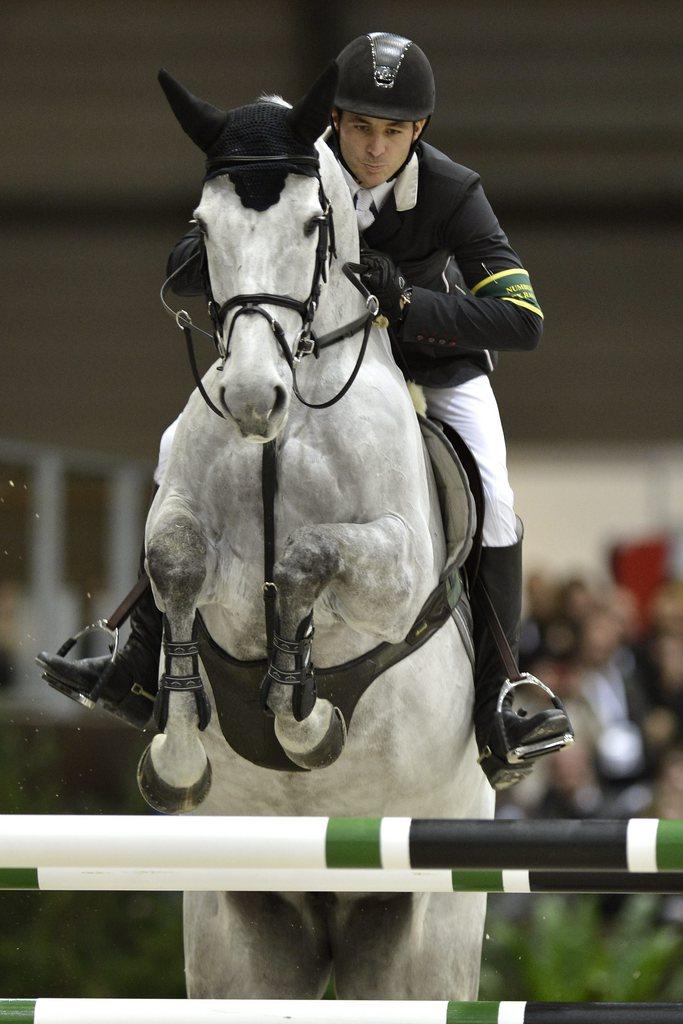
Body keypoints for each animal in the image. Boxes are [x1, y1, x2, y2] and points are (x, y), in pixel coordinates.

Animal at [143, 68, 491, 1003]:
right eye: (202, 228)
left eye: (309, 225)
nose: (250, 397)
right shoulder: (180, 515)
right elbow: (176, 563)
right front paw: (177, 759)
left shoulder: (397, 569)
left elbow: (307, 559)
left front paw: (304, 719)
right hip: (239, 930)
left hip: (422, 935)